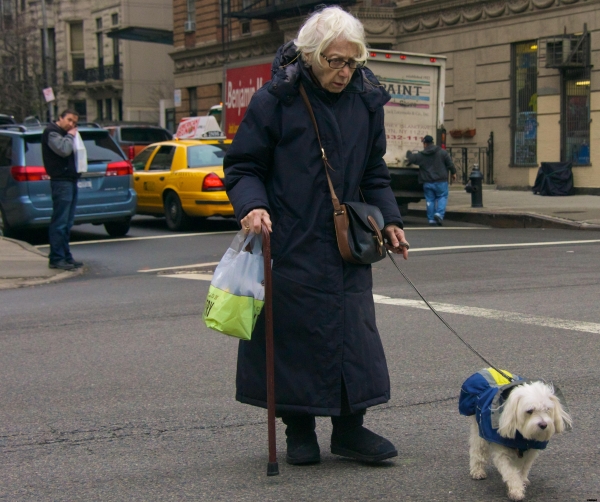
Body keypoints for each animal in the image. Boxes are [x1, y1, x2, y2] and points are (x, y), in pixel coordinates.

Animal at [460, 366, 572, 500]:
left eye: (547, 409)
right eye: (529, 411)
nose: (543, 425)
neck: (522, 437)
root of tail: (486, 369)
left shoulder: (530, 452)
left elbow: (523, 468)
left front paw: (522, 481)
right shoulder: (502, 452)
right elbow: (511, 472)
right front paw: (516, 490)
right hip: (479, 429)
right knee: (477, 449)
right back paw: (477, 470)